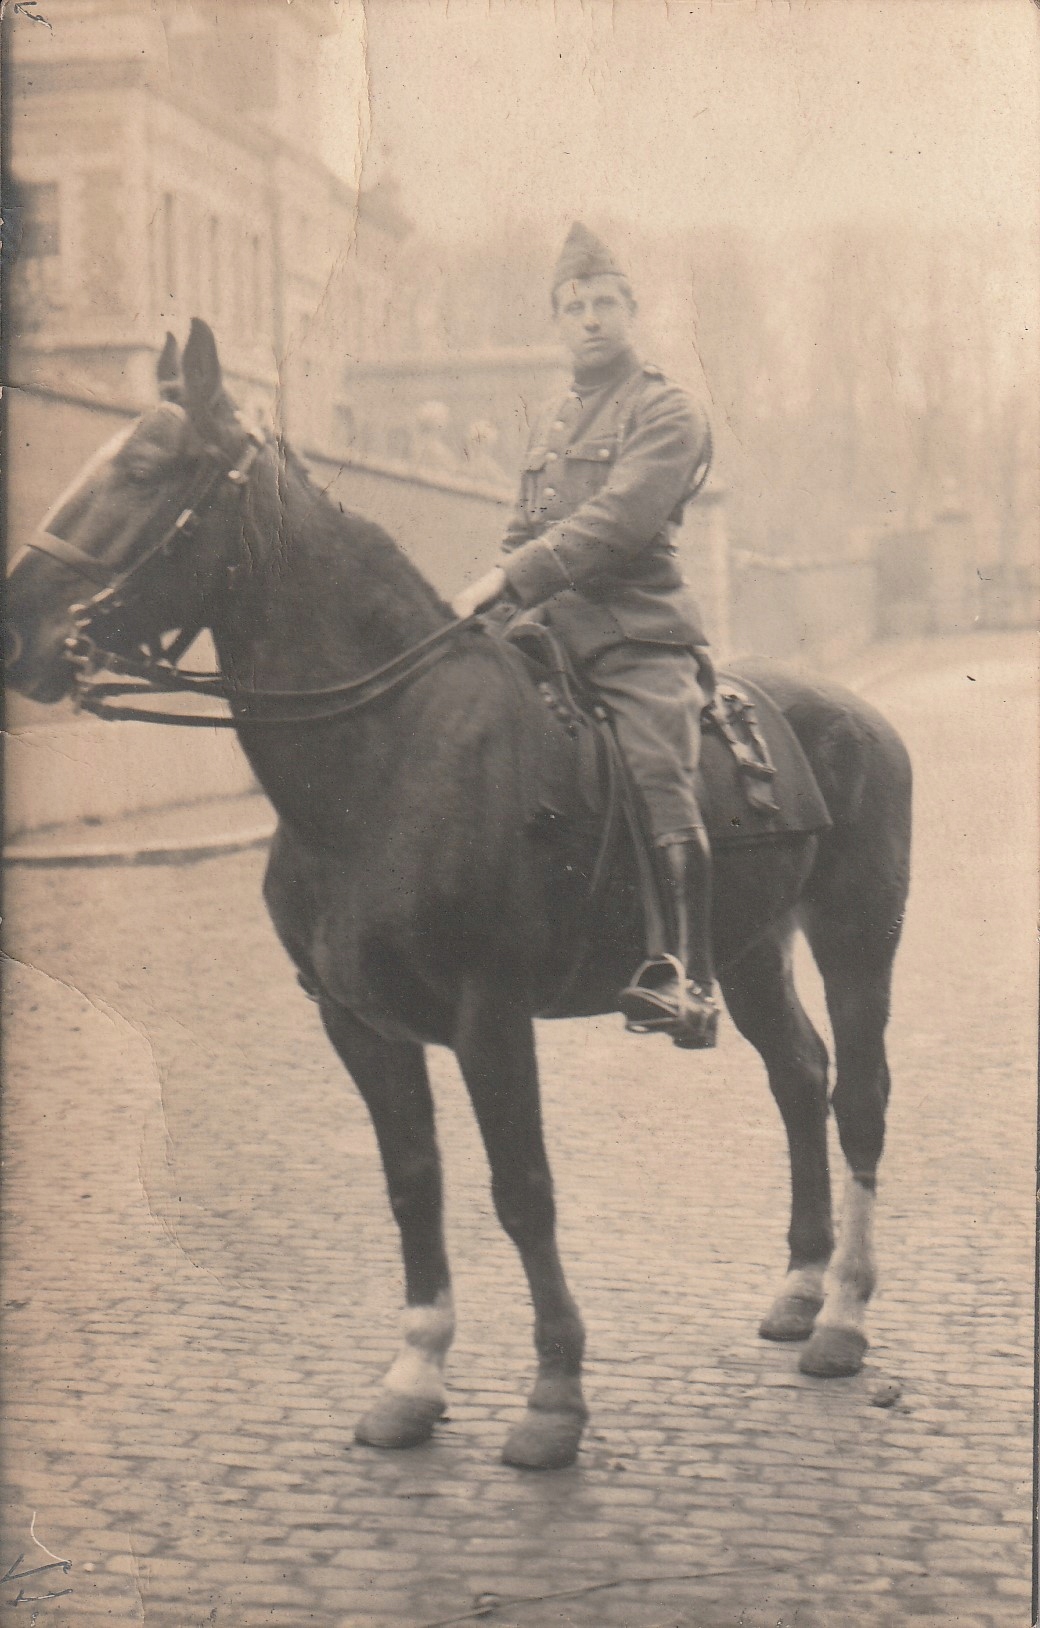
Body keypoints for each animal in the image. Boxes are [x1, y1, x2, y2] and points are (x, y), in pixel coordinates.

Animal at [5, 320, 912, 1471]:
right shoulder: (355, 1020)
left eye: (143, 469)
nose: (17, 632)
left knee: (859, 1095)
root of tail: (851, 711)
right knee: (798, 1076)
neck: (386, 754)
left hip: (856, 939)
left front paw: (554, 1398)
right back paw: (799, 1287)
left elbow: (521, 1191)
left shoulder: (491, 1015)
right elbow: (414, 1183)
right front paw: (414, 1376)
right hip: (746, 950)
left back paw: (843, 1316)